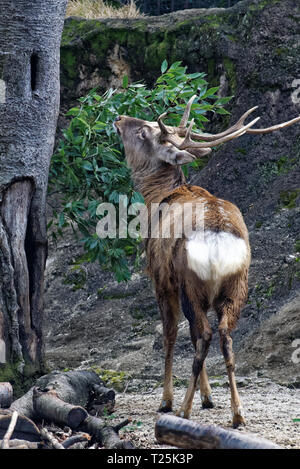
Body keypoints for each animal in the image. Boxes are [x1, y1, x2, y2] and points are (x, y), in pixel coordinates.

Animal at [114, 97, 298, 426]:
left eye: (144, 131)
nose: (120, 118)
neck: (158, 199)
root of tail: (218, 241)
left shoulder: (160, 279)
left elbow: (171, 335)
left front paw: (169, 399)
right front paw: (208, 396)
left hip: (190, 283)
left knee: (205, 335)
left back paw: (183, 409)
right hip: (237, 285)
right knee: (224, 336)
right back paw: (237, 413)